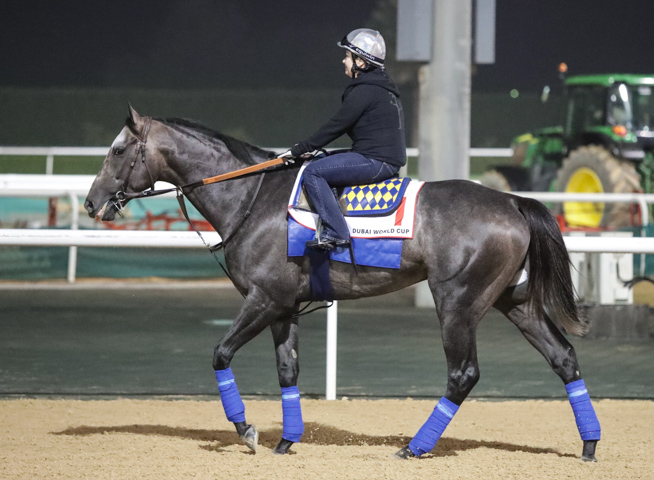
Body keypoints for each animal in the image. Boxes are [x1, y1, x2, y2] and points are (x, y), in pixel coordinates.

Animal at [84, 107, 601, 461]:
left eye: (117, 150)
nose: (91, 202)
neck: (252, 197)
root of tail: (512, 201)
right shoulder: (284, 307)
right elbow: (287, 371)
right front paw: (286, 441)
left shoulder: (263, 299)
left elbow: (221, 354)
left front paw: (247, 431)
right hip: (514, 301)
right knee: (564, 358)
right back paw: (590, 445)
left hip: (458, 303)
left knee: (463, 374)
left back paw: (415, 447)